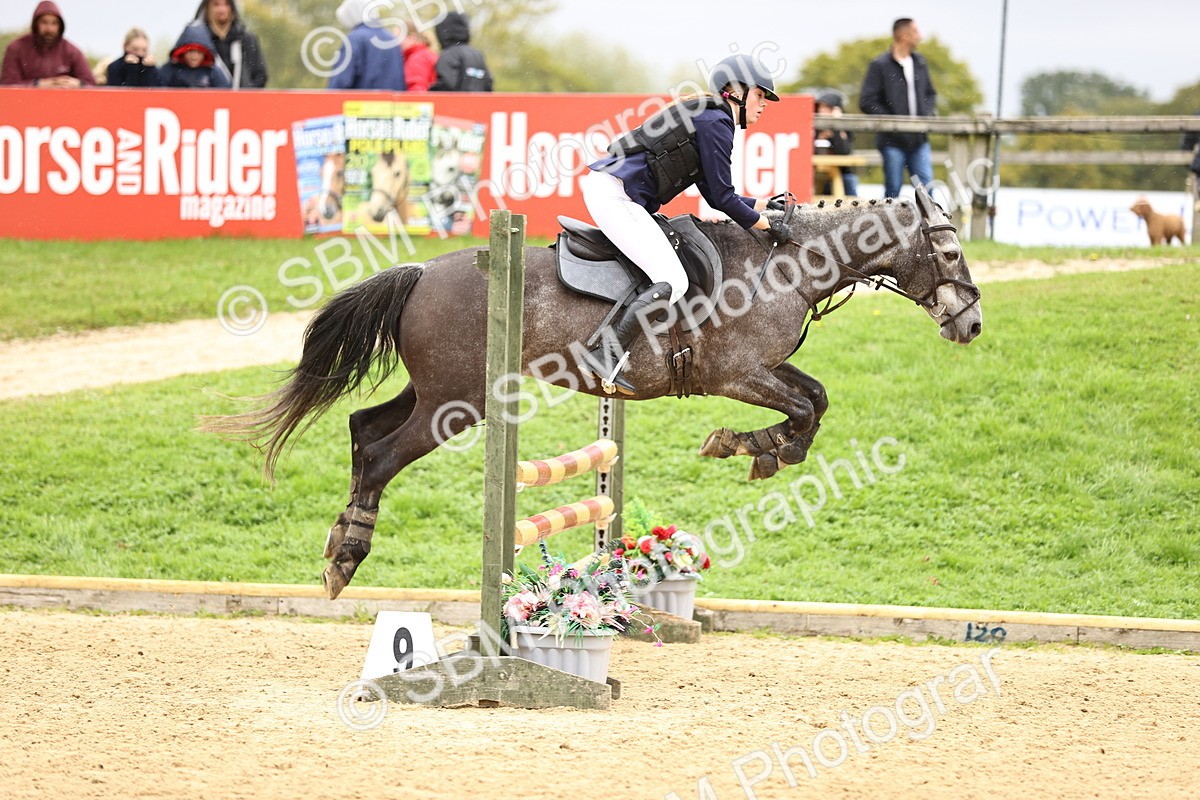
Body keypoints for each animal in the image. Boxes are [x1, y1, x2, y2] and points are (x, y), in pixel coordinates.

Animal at [202, 185, 982, 599]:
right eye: (948, 249)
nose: (970, 323)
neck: (786, 266)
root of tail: (421, 272)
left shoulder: (762, 369)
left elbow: (815, 400)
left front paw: (759, 450)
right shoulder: (737, 374)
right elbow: (801, 409)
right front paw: (750, 447)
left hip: (438, 393)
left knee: (365, 430)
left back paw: (342, 546)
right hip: (458, 404)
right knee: (384, 453)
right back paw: (346, 557)